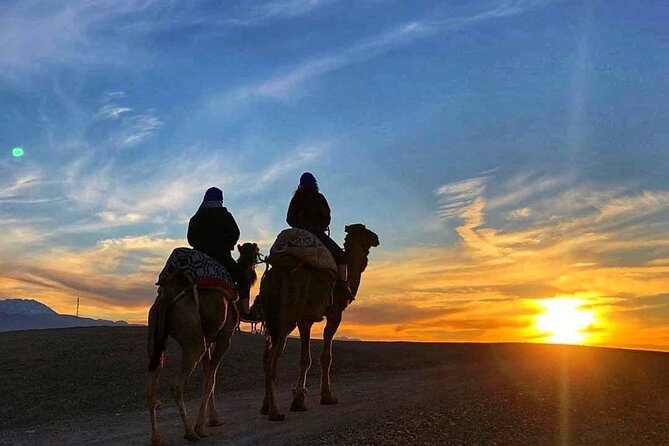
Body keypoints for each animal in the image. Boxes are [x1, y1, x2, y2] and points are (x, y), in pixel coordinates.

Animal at [147, 244, 260, 446]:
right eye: (255, 253)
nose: (257, 262)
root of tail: (168, 294)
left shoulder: (208, 340)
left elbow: (209, 377)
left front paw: (213, 419)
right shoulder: (224, 339)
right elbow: (210, 381)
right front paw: (201, 426)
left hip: (156, 338)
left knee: (151, 384)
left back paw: (157, 438)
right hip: (193, 337)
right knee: (176, 384)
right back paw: (190, 432)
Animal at [258, 225, 378, 420]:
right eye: (365, 230)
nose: (376, 238)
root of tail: (276, 271)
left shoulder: (305, 320)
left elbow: (305, 359)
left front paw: (299, 401)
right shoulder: (335, 313)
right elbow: (326, 357)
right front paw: (328, 397)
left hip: (270, 318)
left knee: (265, 356)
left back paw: (265, 406)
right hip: (286, 318)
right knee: (271, 361)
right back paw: (275, 412)